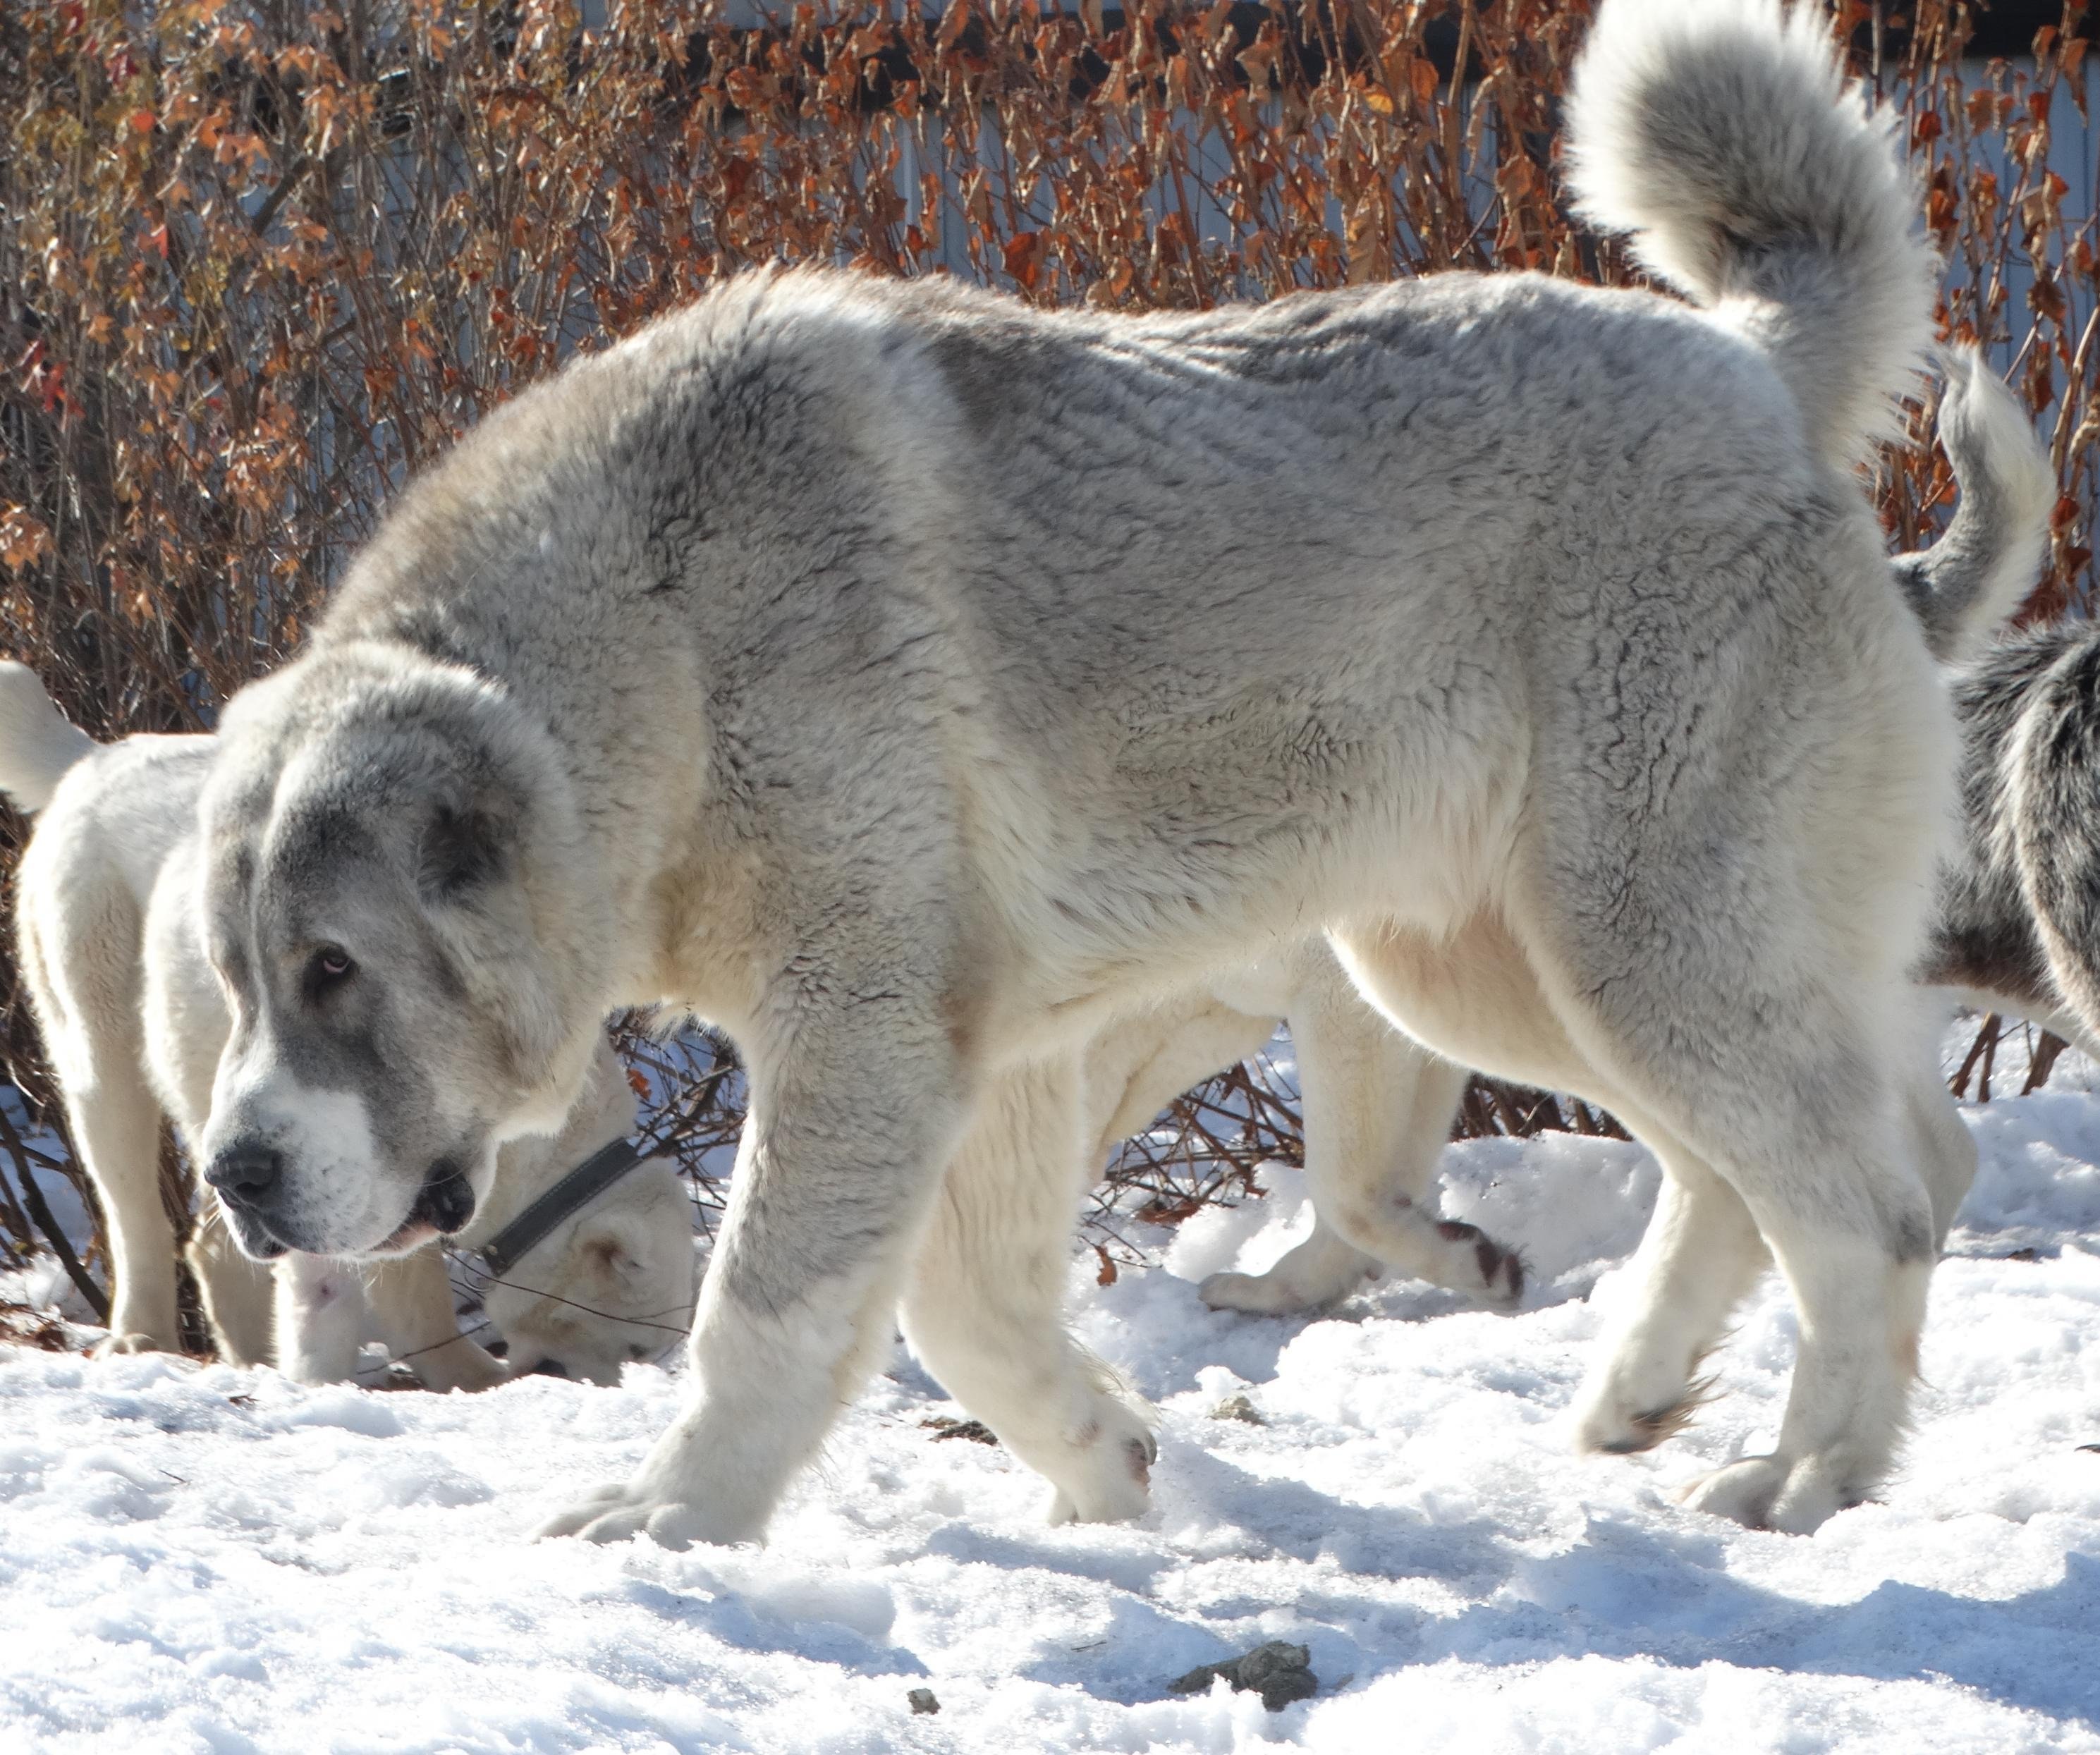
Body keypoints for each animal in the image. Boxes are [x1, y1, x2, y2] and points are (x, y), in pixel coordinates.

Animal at [189, 0, 1957, 1536]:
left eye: (335, 966)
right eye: (235, 980)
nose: (233, 1173)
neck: (658, 636)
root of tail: (1754, 369)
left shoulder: (863, 1038)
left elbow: (768, 1311)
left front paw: (673, 1516)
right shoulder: (986, 1066)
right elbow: (960, 1308)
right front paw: (1107, 1464)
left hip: (1636, 941)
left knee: (1869, 1204)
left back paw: (1805, 1472)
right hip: (1485, 971)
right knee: (1738, 1172)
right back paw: (1640, 1391)